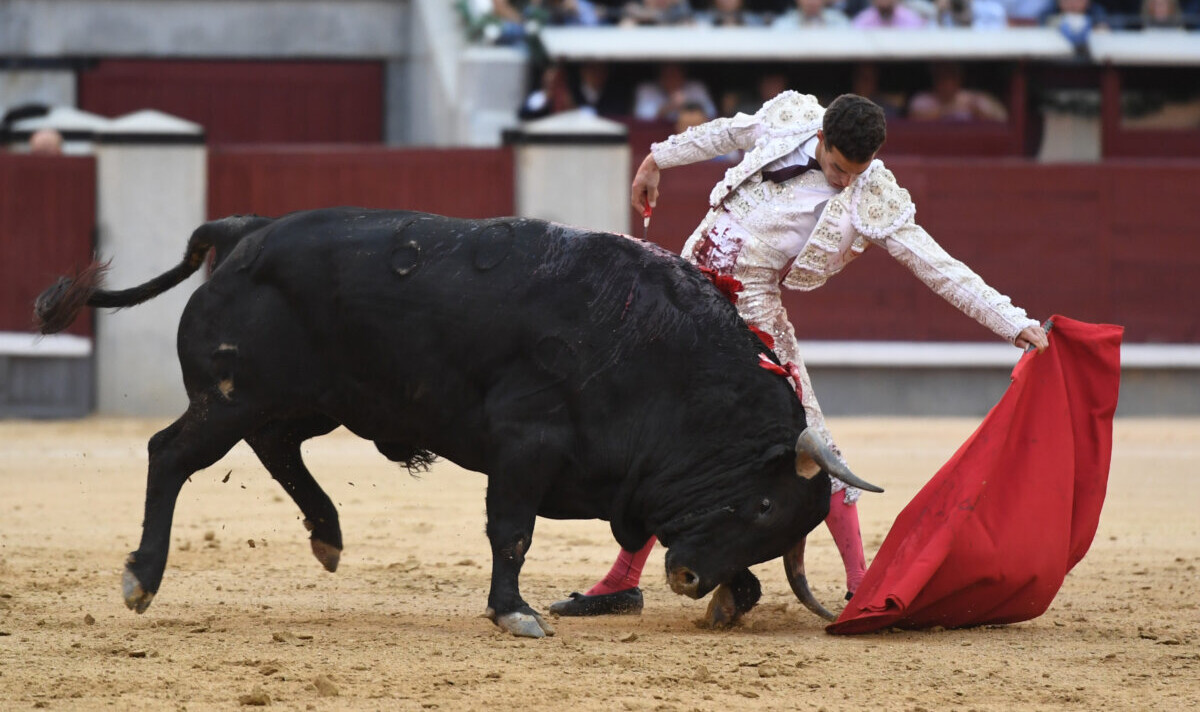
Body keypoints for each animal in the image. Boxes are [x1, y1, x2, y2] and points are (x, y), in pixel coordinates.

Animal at [37, 207, 883, 633]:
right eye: (766, 504)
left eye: (775, 524)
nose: (687, 578)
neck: (659, 355)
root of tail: (242, 234)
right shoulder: (526, 443)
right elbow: (511, 530)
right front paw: (515, 612)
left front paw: (729, 598)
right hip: (232, 395)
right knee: (170, 455)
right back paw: (141, 579)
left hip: (311, 401)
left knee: (277, 449)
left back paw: (328, 535)